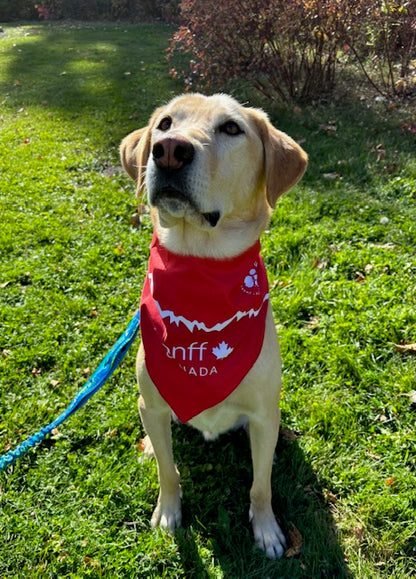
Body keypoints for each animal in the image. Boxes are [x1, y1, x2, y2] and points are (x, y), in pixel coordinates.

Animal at [118, 93, 308, 560]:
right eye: (165, 124)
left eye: (231, 128)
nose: (168, 151)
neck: (200, 269)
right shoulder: (154, 403)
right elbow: (169, 472)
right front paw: (169, 512)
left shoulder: (262, 415)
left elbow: (261, 486)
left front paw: (267, 528)